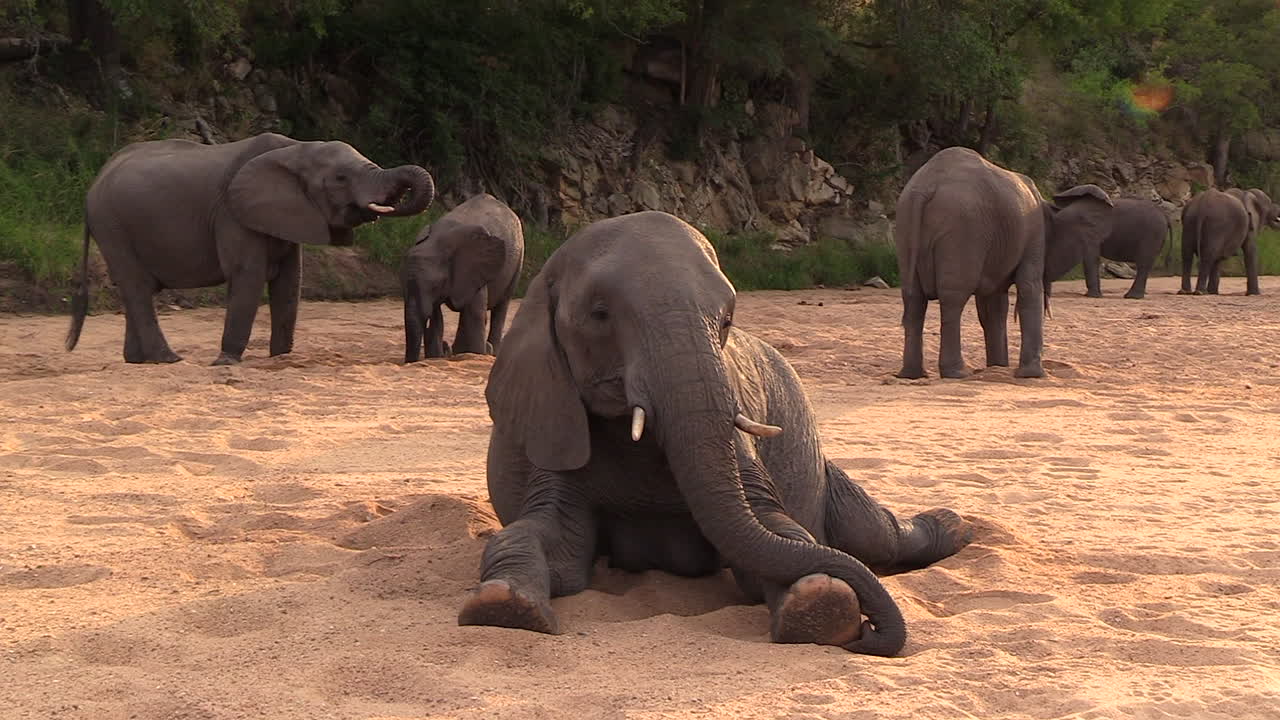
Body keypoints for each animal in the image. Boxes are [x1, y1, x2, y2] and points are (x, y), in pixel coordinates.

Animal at [65, 132, 435, 365]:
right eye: (341, 178)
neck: (296, 148)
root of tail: (93, 184)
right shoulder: (233, 212)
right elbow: (248, 274)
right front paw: (225, 362)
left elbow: (290, 282)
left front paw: (281, 358)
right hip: (112, 225)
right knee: (138, 287)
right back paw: (168, 360)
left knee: (136, 290)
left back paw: (137, 361)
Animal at [402, 193, 525, 363]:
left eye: (435, 286)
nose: (411, 362)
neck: (436, 244)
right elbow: (437, 317)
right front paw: (439, 356)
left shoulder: (475, 268)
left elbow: (474, 312)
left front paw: (473, 353)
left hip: (518, 258)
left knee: (501, 306)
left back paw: (490, 351)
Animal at [457, 211, 973, 657]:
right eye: (599, 313)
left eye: (726, 320)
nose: (871, 634)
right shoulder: (553, 422)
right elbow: (548, 540)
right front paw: (504, 605)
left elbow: (781, 531)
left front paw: (821, 608)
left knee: (876, 536)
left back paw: (956, 527)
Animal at [894, 147, 1114, 379]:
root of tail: (925, 187)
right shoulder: (1034, 237)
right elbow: (1028, 288)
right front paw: (1032, 375)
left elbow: (993, 306)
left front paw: (998, 367)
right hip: (962, 230)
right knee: (953, 298)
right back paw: (957, 373)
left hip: (906, 225)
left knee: (914, 299)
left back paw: (911, 374)